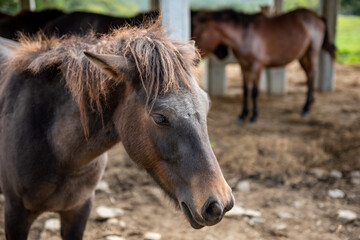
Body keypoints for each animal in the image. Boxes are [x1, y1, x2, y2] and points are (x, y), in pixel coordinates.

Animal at [193, 8, 336, 123]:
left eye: (201, 34)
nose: (194, 60)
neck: (246, 35)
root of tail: (318, 17)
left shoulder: (257, 66)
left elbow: (254, 92)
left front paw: (253, 116)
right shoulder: (244, 66)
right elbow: (245, 90)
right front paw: (242, 115)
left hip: (312, 52)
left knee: (311, 74)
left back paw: (306, 108)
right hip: (302, 56)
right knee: (309, 75)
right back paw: (311, 101)